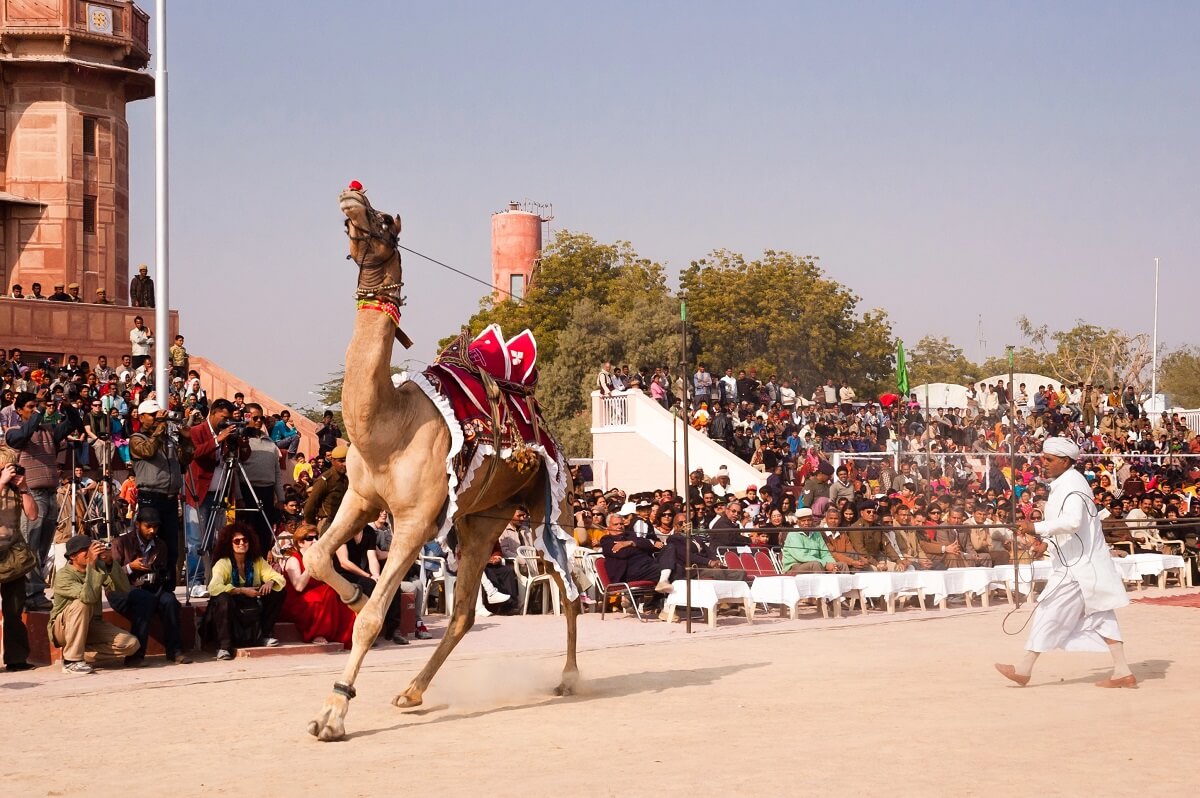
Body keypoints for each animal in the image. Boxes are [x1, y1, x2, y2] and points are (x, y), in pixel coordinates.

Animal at [302, 182, 578, 739]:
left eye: (385, 221)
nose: (352, 195)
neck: (387, 426)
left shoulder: (414, 519)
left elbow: (372, 618)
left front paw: (333, 713)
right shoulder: (362, 498)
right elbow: (317, 556)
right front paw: (353, 596)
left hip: (549, 505)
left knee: (573, 589)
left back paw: (569, 678)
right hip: (483, 518)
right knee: (465, 612)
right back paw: (411, 692)